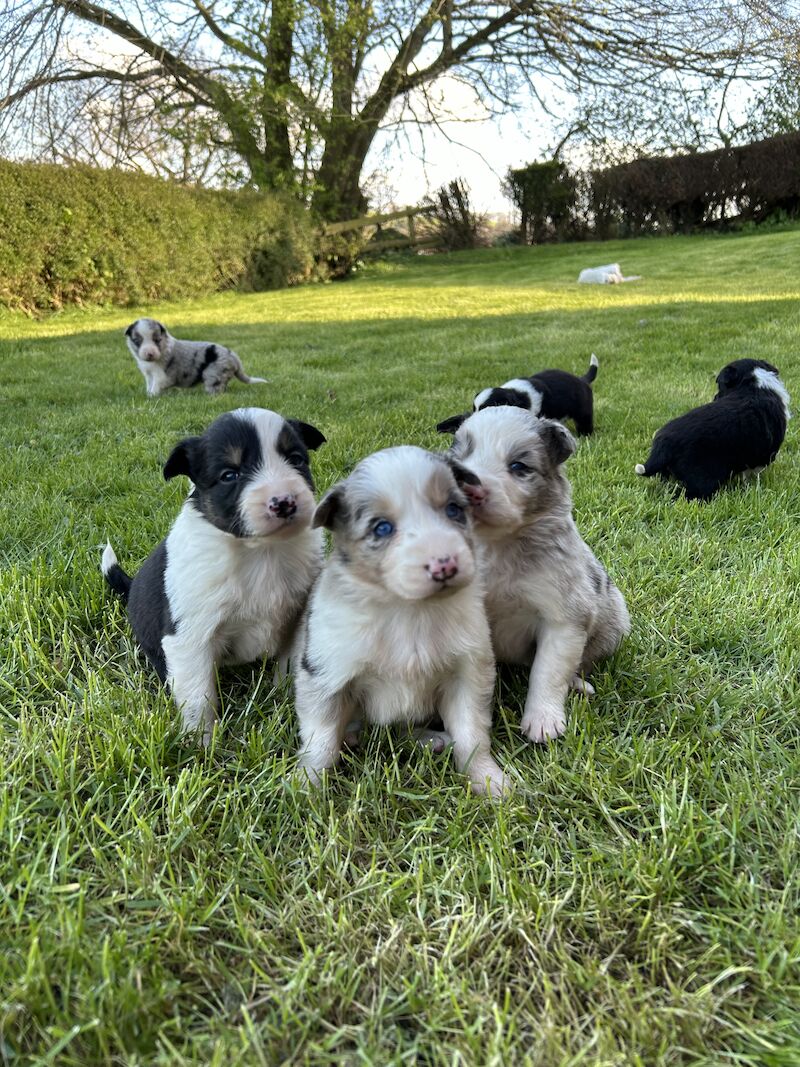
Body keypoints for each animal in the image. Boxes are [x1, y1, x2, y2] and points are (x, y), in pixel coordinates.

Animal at [101, 405, 326, 742]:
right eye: (229, 475)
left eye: (296, 459)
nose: (284, 502)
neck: (261, 552)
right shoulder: (189, 634)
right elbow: (197, 694)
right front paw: (202, 741)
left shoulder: (300, 616)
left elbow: (290, 661)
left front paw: (285, 698)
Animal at [123, 320, 266, 401]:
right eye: (137, 341)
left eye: (157, 340)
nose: (150, 354)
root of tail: (234, 356)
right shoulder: (149, 374)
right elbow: (149, 384)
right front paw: (147, 394)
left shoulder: (161, 376)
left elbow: (155, 386)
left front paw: (151, 397)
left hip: (214, 374)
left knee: (216, 389)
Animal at [439, 349, 601, 433]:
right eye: (474, 409)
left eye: (488, 408)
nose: (472, 422)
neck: (518, 395)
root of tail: (582, 379)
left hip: (583, 410)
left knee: (585, 421)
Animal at [441, 403, 631, 746]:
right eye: (459, 461)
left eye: (519, 466)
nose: (471, 491)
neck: (498, 547)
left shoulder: (564, 618)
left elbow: (547, 671)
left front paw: (543, 720)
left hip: (614, 624)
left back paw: (578, 684)